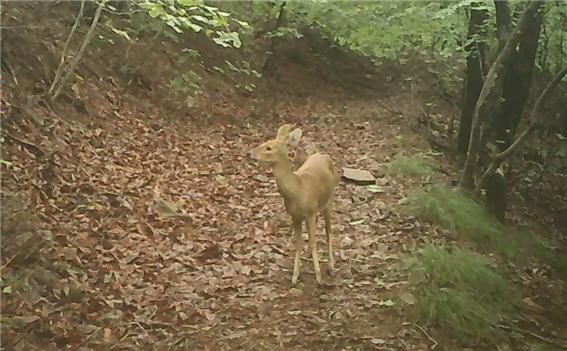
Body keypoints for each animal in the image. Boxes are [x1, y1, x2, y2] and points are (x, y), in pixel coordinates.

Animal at [251, 124, 340, 286]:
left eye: (269, 147)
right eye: (264, 142)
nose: (250, 153)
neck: (298, 190)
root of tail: (323, 155)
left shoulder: (310, 212)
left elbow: (313, 241)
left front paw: (318, 277)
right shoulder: (295, 216)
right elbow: (298, 243)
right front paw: (294, 276)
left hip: (329, 201)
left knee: (328, 232)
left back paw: (331, 266)